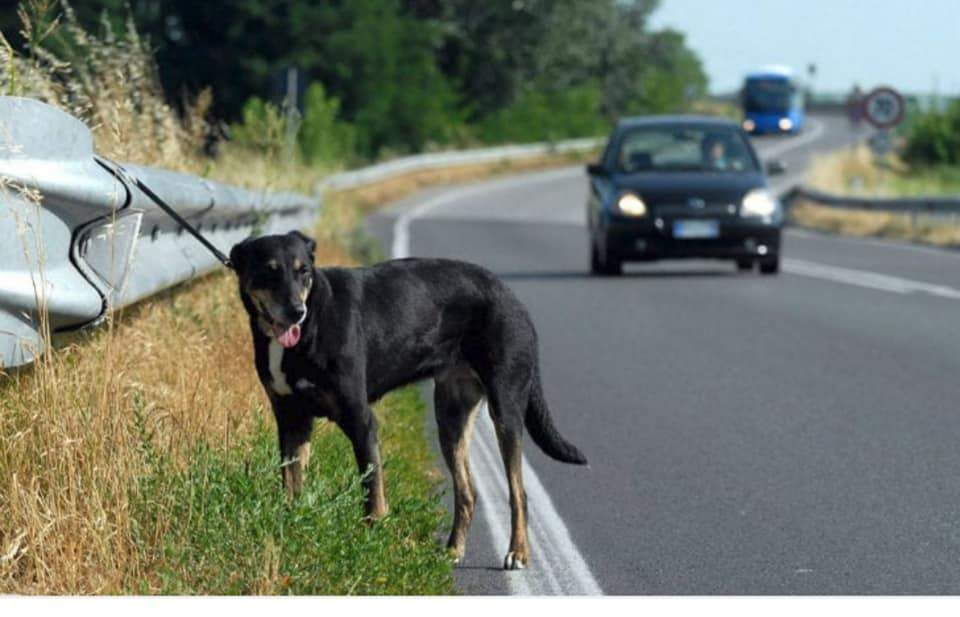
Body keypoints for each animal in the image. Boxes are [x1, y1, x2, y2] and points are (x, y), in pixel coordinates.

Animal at [231, 230, 584, 568]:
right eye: (269, 271)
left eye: (303, 271)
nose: (296, 312)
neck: (312, 323)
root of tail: (511, 295)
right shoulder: (292, 421)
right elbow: (292, 487)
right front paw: (290, 532)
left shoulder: (360, 420)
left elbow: (372, 493)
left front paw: (372, 545)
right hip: (451, 418)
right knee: (467, 491)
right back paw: (453, 550)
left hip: (505, 409)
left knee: (518, 492)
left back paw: (518, 553)